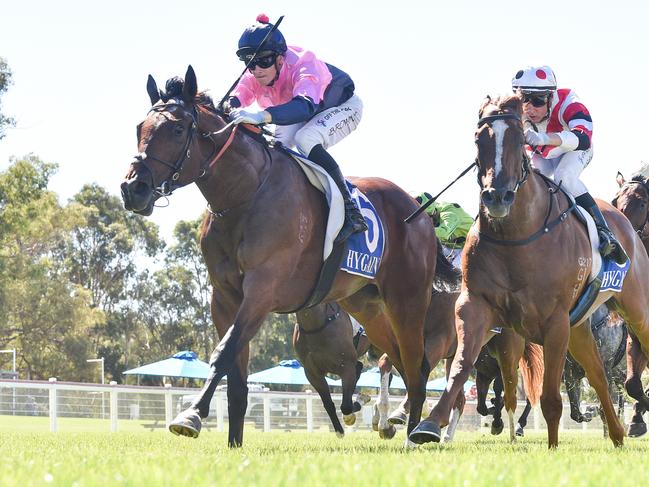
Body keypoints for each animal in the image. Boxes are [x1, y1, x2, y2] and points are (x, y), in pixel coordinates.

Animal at [121, 66, 456, 448]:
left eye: (177, 129)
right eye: (139, 129)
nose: (133, 188)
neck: (245, 194)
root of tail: (420, 210)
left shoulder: (262, 289)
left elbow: (223, 352)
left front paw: (190, 415)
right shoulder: (224, 297)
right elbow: (235, 374)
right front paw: (233, 442)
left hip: (407, 300)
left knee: (417, 366)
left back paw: (414, 434)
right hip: (368, 307)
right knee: (399, 361)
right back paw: (394, 425)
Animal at [410, 94, 649, 450]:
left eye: (518, 138)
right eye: (479, 139)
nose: (496, 196)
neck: (517, 236)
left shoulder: (554, 320)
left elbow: (550, 396)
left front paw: (551, 448)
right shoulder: (474, 305)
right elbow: (461, 366)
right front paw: (428, 425)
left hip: (634, 308)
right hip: (579, 324)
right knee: (598, 376)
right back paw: (618, 434)